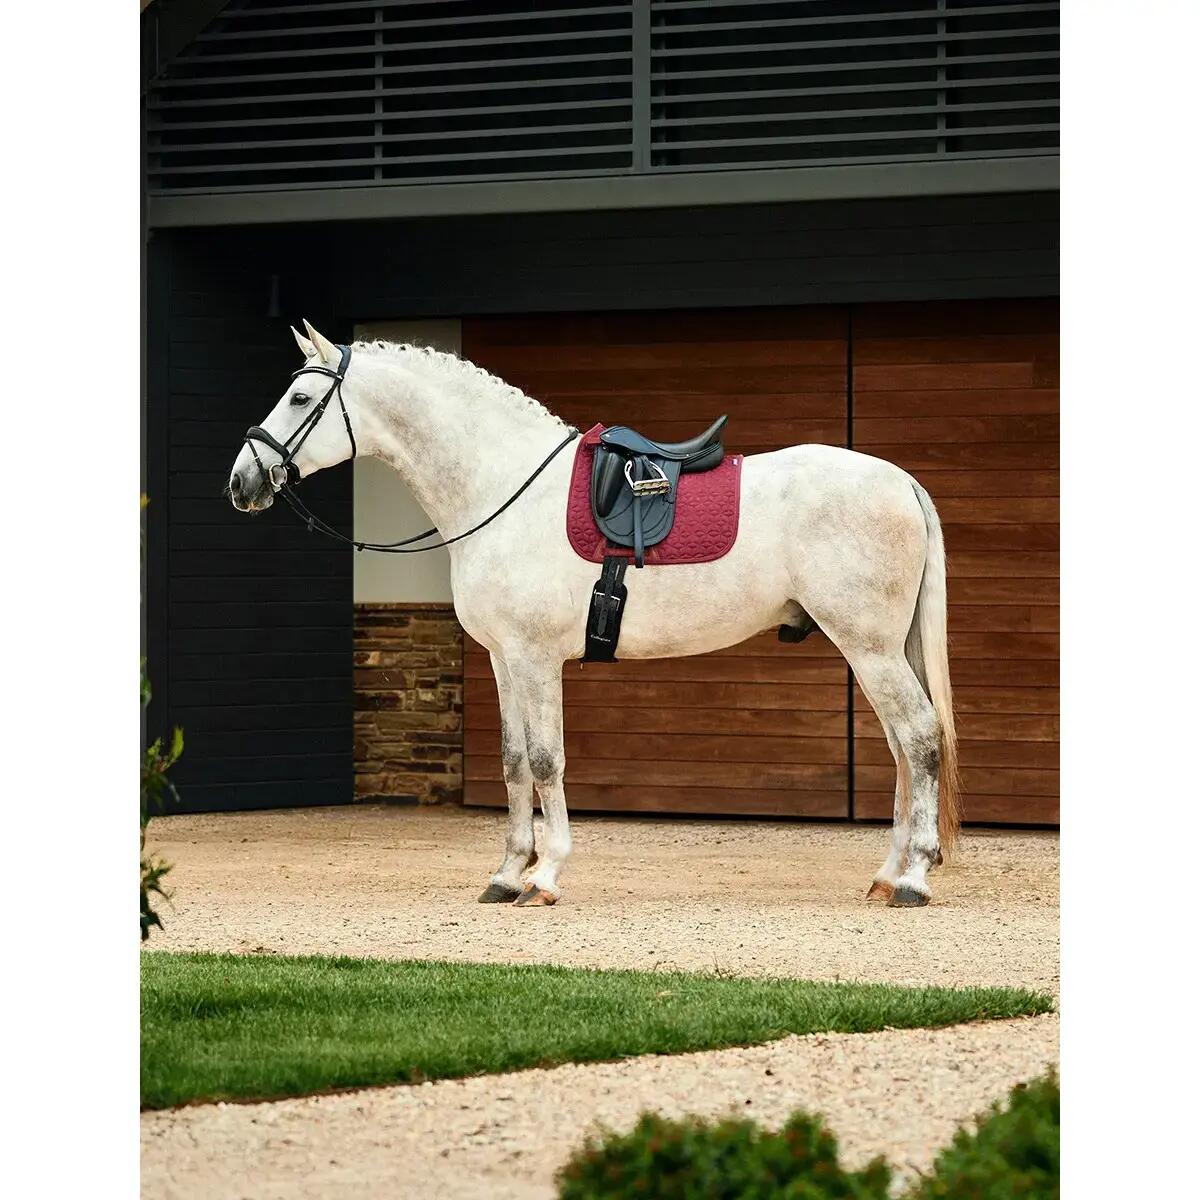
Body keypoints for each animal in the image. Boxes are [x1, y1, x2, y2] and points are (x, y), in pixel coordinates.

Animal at [228, 320, 961, 909]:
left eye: (300, 399)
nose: (242, 482)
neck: (503, 488)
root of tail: (900, 480)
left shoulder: (534, 658)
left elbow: (546, 761)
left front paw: (546, 875)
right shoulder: (503, 660)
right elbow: (513, 762)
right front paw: (505, 875)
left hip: (869, 648)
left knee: (920, 740)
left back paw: (914, 878)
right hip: (876, 651)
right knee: (903, 749)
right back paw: (887, 873)